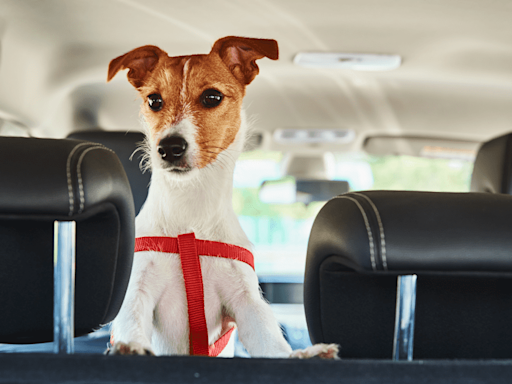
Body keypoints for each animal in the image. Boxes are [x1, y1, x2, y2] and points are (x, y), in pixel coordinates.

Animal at [107, 36, 340, 360]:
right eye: (154, 100)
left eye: (212, 97)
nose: (169, 148)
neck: (190, 218)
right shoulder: (137, 289)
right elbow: (130, 320)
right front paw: (131, 347)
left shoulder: (246, 303)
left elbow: (271, 343)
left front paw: (304, 354)